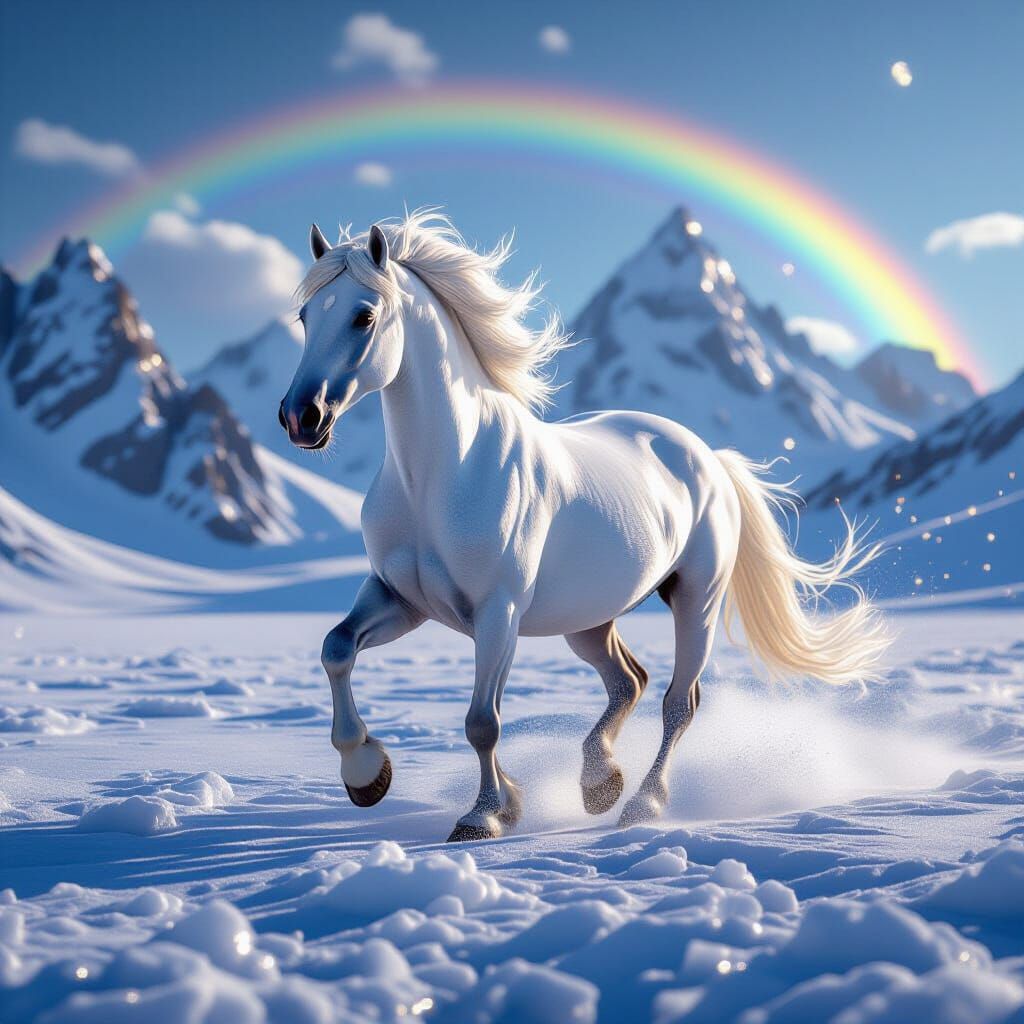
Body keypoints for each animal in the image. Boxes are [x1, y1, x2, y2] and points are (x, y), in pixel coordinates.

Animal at [279, 210, 889, 842]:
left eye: (364, 316)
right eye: (305, 316)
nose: (301, 417)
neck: (442, 474)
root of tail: (708, 456)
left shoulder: (498, 613)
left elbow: (482, 721)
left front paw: (482, 817)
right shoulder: (401, 600)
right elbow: (336, 648)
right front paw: (367, 775)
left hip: (696, 598)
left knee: (678, 701)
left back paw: (642, 804)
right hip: (588, 620)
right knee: (629, 680)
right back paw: (600, 783)